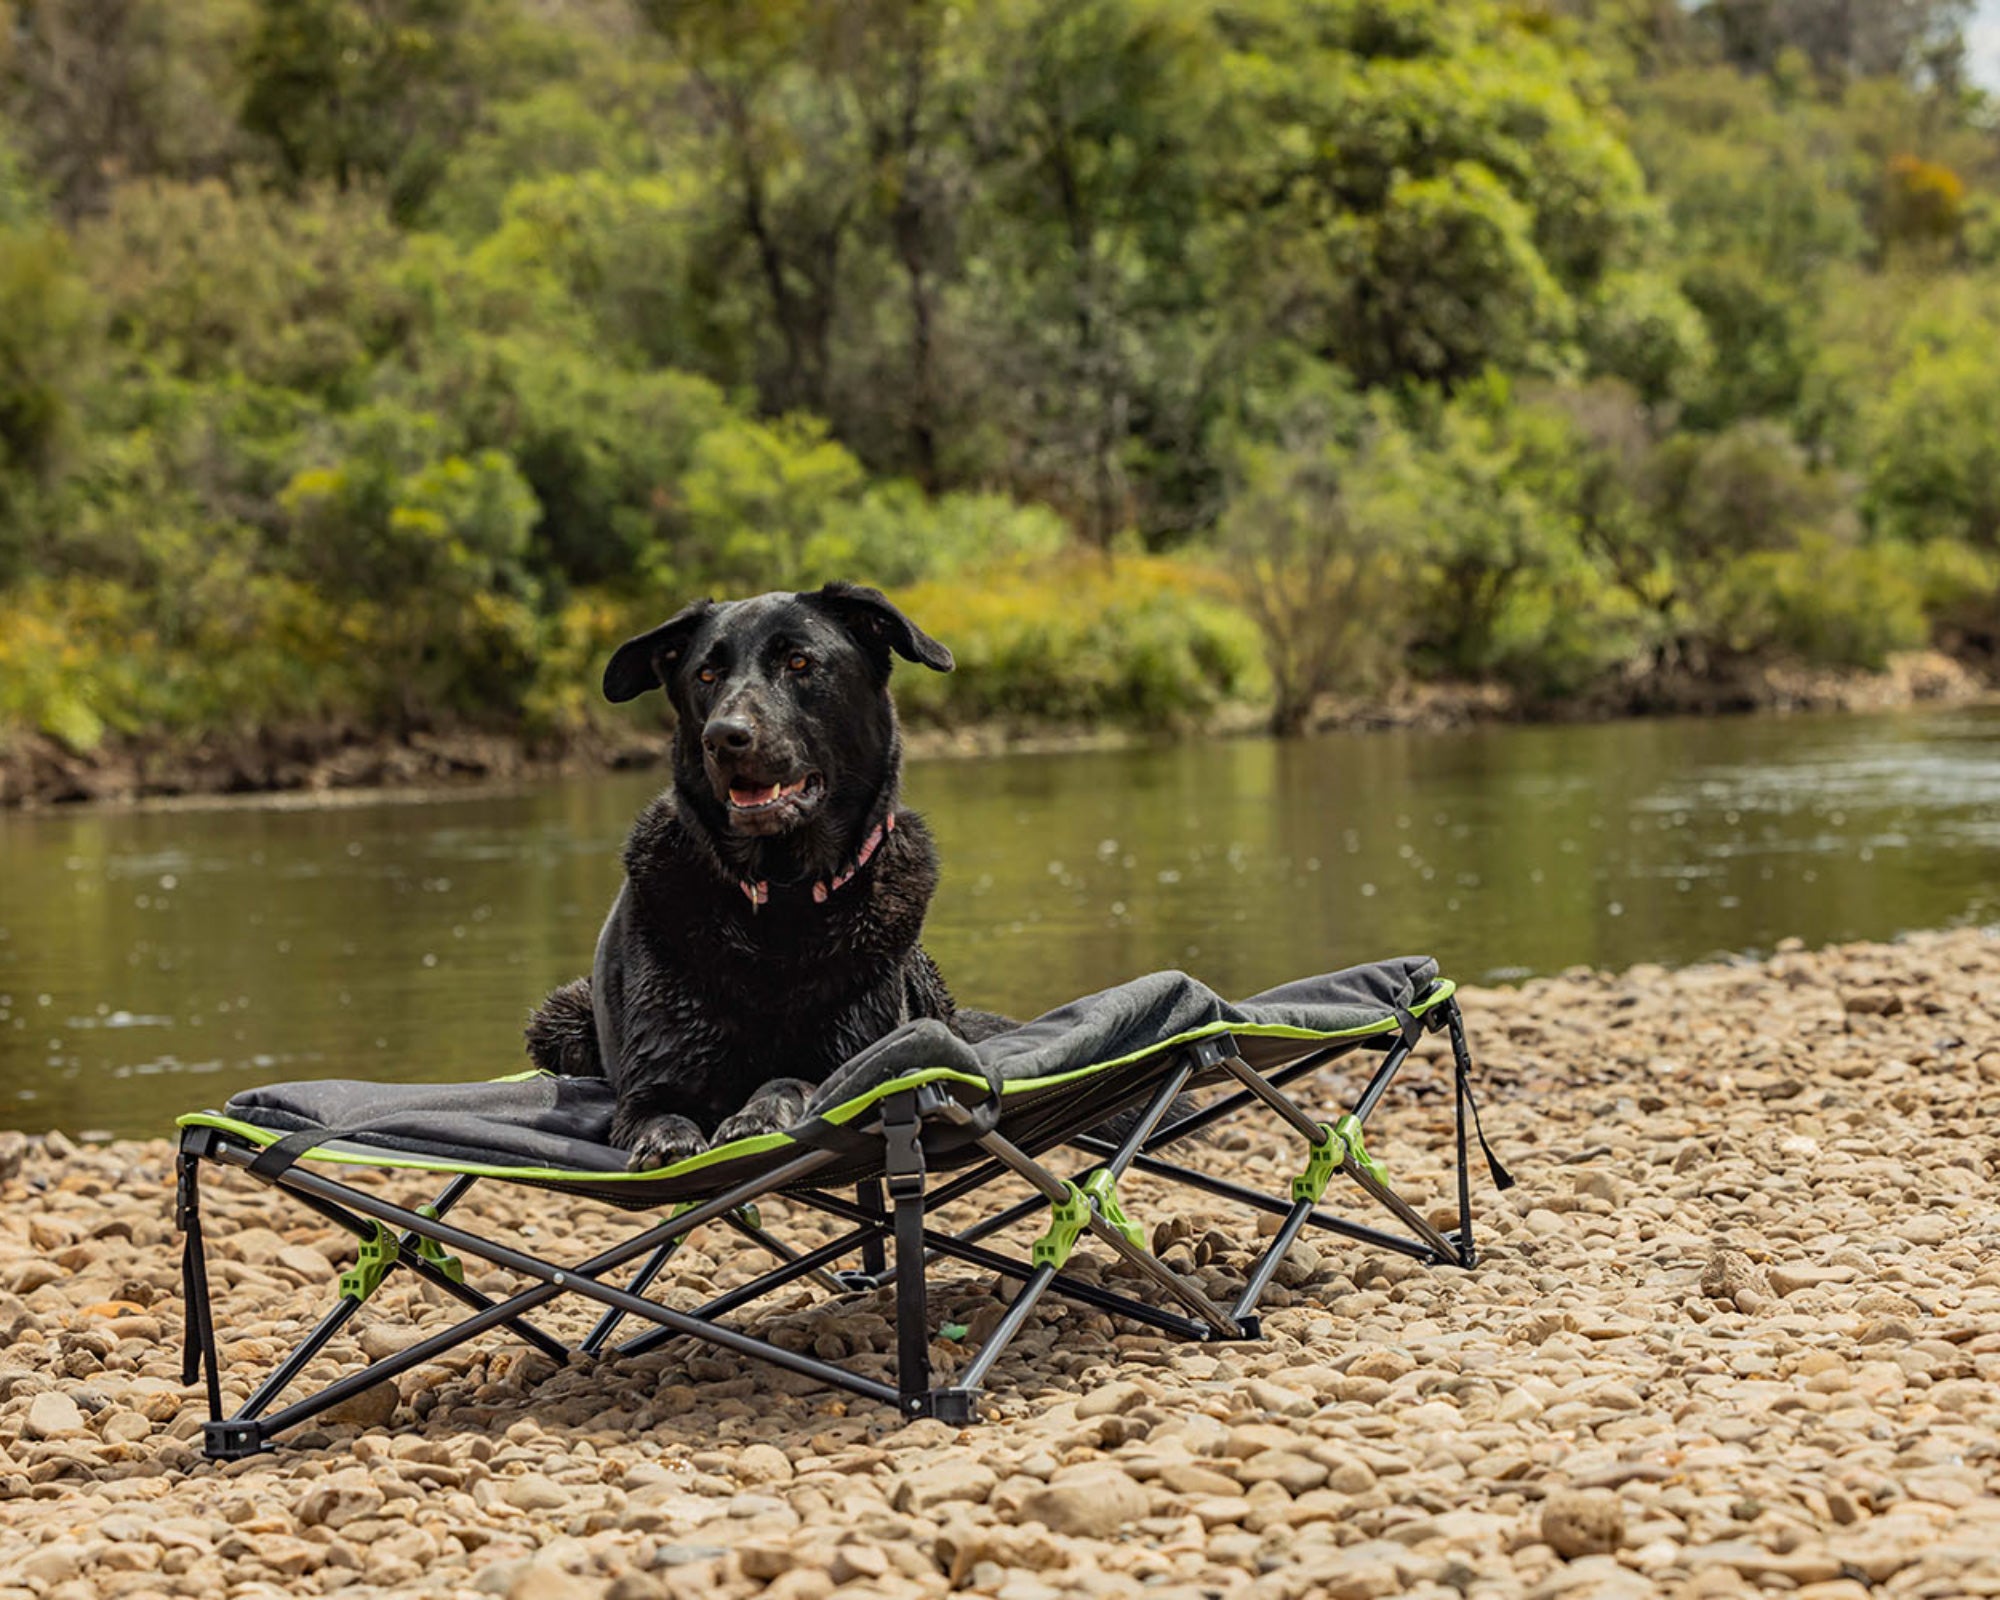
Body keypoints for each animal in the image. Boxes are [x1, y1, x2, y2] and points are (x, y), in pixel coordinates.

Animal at [524, 580, 992, 1168]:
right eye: (706, 675)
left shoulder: (858, 1062)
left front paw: (757, 1116)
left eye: (799, 662)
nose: (724, 737)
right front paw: (668, 1141)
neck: (785, 897)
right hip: (561, 1015)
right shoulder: (653, 1080)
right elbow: (658, 1110)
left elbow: (790, 1081)